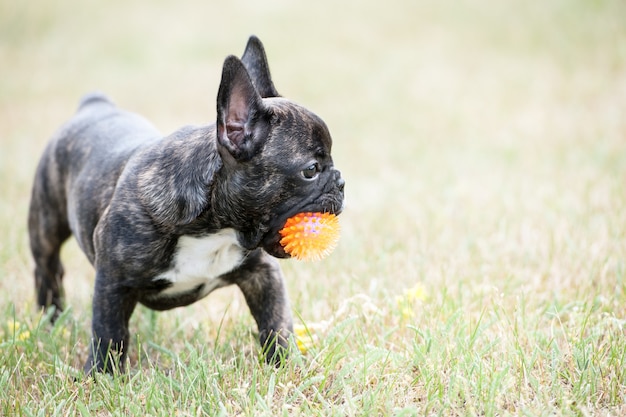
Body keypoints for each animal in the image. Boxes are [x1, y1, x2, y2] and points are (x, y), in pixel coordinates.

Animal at [28, 36, 342, 374]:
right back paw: (51, 323)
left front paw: (285, 365)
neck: (214, 227)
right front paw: (101, 374)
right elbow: (109, 331)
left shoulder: (262, 274)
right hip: (45, 227)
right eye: (311, 170)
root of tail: (94, 104)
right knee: (48, 270)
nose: (340, 182)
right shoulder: (112, 280)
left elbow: (276, 322)